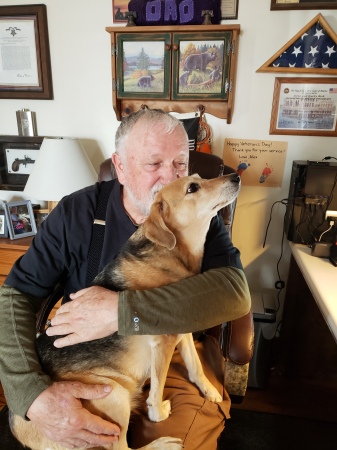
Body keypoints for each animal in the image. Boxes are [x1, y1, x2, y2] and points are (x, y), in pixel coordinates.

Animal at [11, 171, 240, 450]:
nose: (237, 176)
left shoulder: (182, 328)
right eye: (192, 188)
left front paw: (209, 390)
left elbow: (195, 365)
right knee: (122, 447)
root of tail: (20, 426)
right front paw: (158, 413)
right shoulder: (163, 343)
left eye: (198, 177)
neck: (175, 252)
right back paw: (161, 444)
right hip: (114, 394)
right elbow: (157, 390)